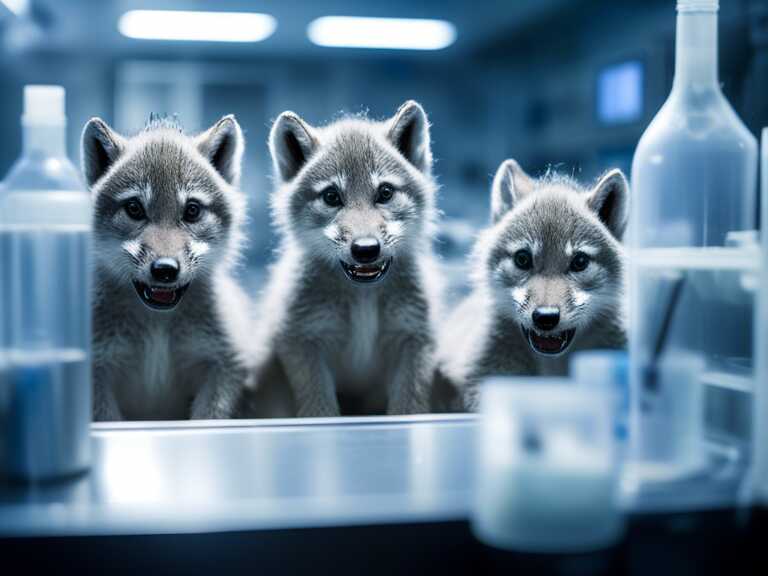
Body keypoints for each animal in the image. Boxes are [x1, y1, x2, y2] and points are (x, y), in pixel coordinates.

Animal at [82, 114, 253, 421]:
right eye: (134, 208)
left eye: (193, 210)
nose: (164, 269)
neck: (156, 328)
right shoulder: (98, 371)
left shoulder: (225, 365)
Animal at [245, 101, 442, 417]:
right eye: (331, 196)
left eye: (385, 192)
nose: (366, 248)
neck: (363, 300)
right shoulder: (304, 342)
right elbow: (320, 410)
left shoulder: (414, 339)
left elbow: (407, 408)